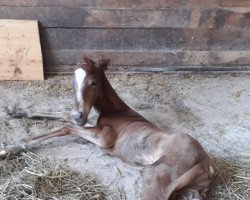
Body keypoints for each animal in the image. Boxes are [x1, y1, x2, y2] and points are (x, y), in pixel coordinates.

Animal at [0, 56, 215, 200]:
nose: (80, 116)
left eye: (94, 82)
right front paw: (16, 111)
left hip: (156, 178)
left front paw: (10, 148)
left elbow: (67, 126)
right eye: (72, 80)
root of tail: (208, 167)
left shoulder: (104, 137)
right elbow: (65, 115)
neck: (117, 110)